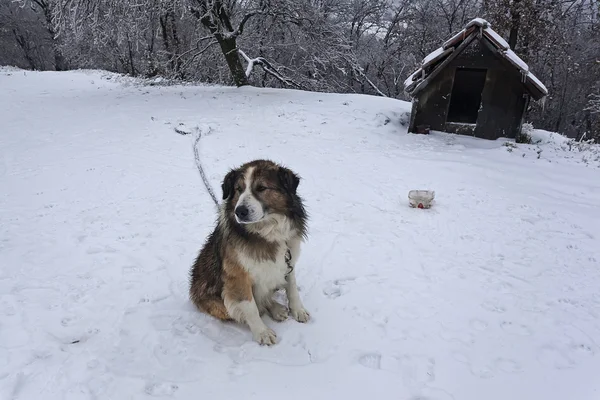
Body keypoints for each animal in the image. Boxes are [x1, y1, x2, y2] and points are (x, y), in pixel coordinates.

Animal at [189, 159, 312, 344]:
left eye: (261, 188)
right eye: (238, 189)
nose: (240, 211)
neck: (265, 232)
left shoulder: (288, 261)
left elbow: (292, 288)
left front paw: (298, 310)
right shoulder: (237, 277)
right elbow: (251, 307)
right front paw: (262, 332)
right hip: (218, 304)